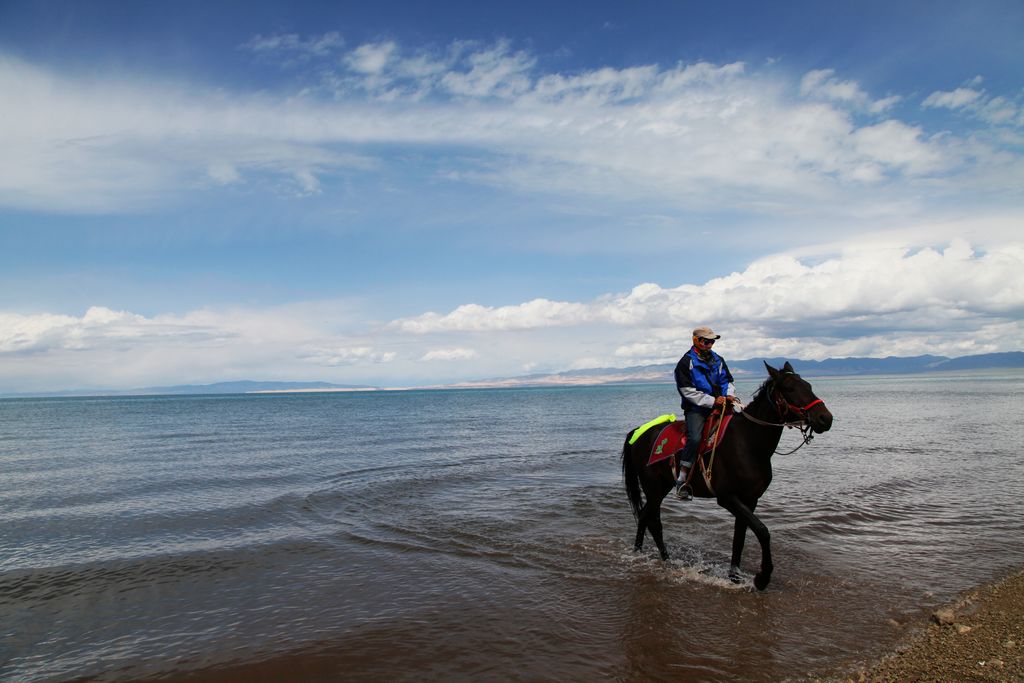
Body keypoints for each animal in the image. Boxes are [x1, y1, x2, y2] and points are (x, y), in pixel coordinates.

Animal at [622, 360, 831, 589]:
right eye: (790, 388)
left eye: (809, 386)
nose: (825, 418)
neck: (749, 443)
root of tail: (639, 432)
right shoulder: (727, 498)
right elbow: (762, 531)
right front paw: (762, 577)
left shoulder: (750, 500)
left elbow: (739, 537)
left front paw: (735, 577)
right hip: (653, 487)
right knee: (652, 520)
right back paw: (660, 559)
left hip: (662, 486)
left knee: (645, 516)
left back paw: (646, 554)